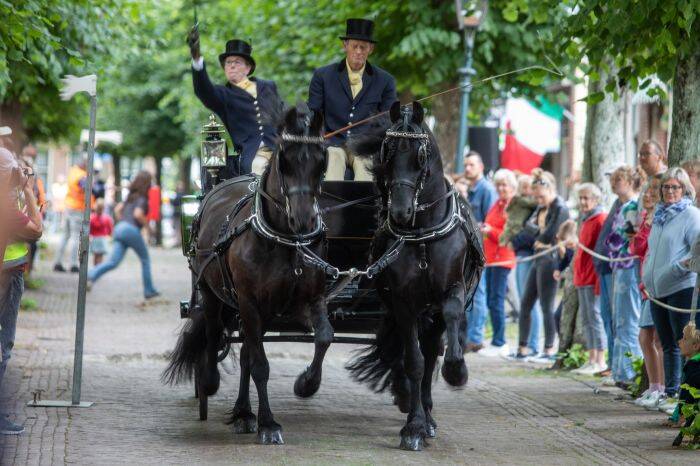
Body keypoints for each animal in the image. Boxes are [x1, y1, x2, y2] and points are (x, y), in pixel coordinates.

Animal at [163, 104, 332, 444]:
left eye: (322, 160)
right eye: (284, 161)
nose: (305, 220)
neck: (285, 240)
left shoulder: (313, 296)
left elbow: (323, 338)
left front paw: (306, 383)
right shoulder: (250, 302)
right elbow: (261, 366)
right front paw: (268, 424)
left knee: (244, 354)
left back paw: (243, 413)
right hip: (214, 294)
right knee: (213, 332)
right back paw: (210, 381)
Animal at [348, 100, 484, 450]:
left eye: (420, 156)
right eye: (387, 152)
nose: (399, 212)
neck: (423, 233)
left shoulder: (452, 290)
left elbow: (449, 324)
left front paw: (456, 370)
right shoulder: (404, 303)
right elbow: (414, 361)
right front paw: (413, 426)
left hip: (432, 313)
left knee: (434, 348)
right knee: (417, 356)